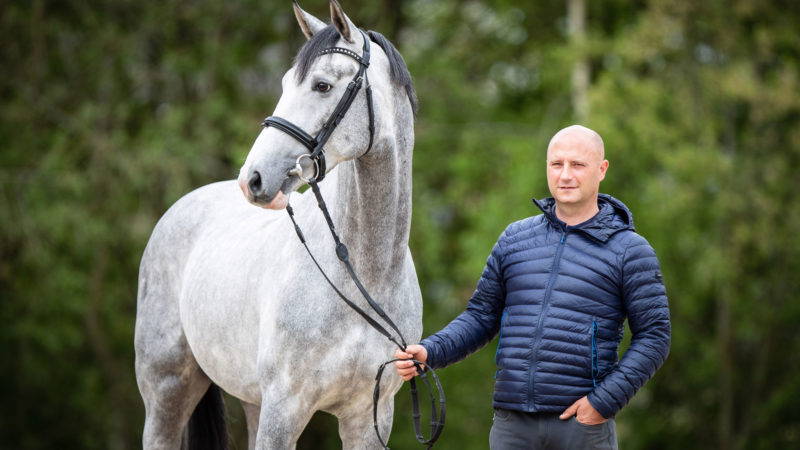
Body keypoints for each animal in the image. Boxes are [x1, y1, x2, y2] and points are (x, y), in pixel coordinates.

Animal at [136, 1, 424, 448]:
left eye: (322, 86)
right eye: (288, 82)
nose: (252, 179)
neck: (362, 275)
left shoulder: (369, 418)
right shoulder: (284, 410)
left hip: (250, 398)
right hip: (167, 391)